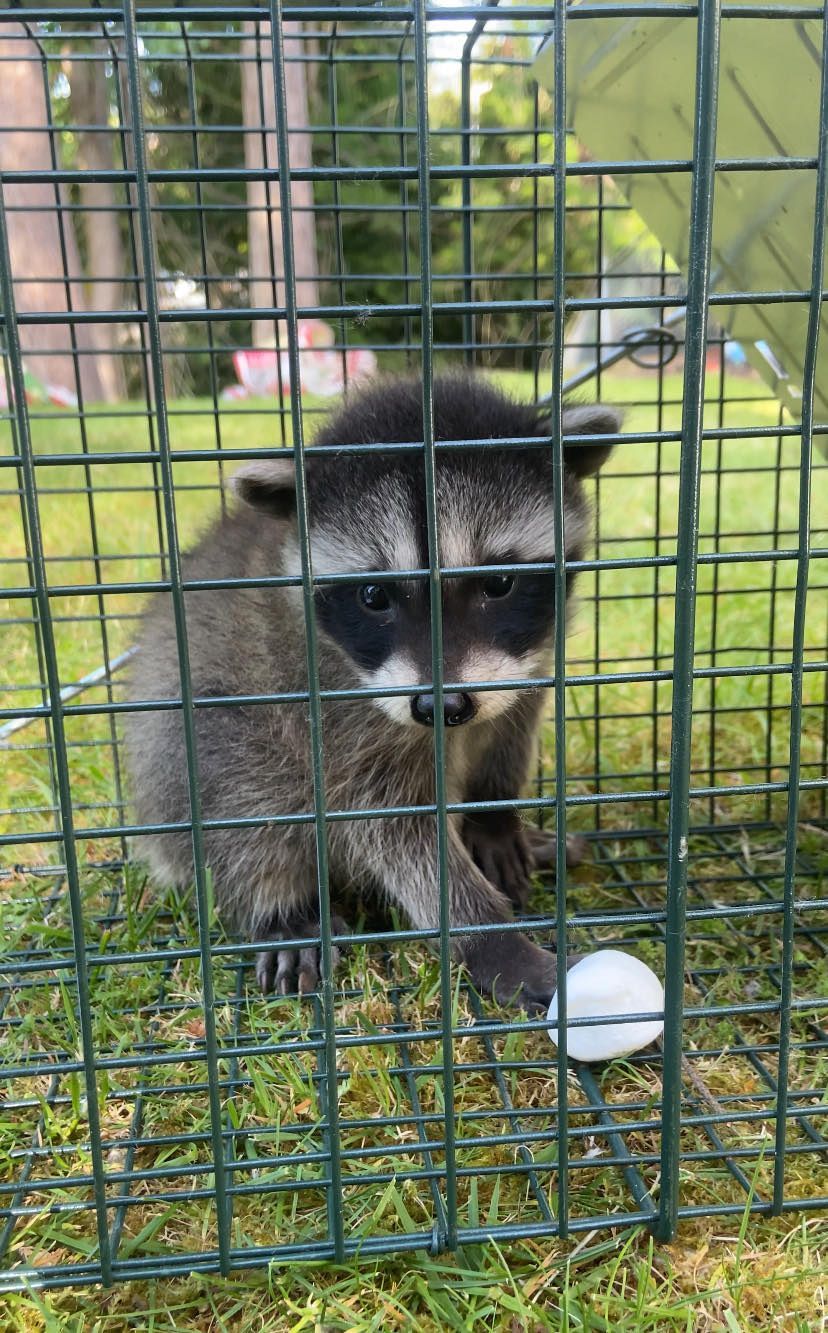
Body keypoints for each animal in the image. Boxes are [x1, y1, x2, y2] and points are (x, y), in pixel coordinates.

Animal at [123, 374, 617, 1009]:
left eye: (499, 583)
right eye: (374, 595)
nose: (442, 706)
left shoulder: (528, 655)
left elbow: (512, 725)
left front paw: (493, 811)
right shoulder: (331, 704)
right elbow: (391, 827)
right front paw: (490, 938)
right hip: (189, 750)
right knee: (239, 788)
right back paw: (278, 906)